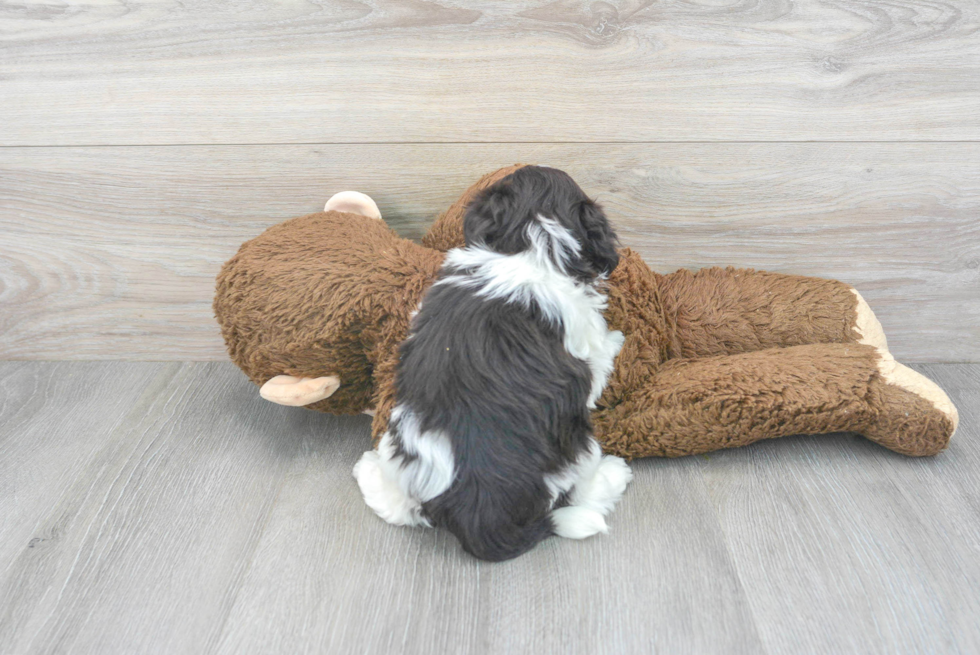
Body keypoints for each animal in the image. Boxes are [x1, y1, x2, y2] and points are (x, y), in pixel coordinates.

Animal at [356, 167, 632, 560]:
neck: (529, 244)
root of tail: (475, 516)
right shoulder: (585, 344)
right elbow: (602, 354)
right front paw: (618, 339)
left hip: (400, 444)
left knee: (399, 508)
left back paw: (368, 473)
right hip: (577, 446)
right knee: (581, 488)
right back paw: (613, 475)